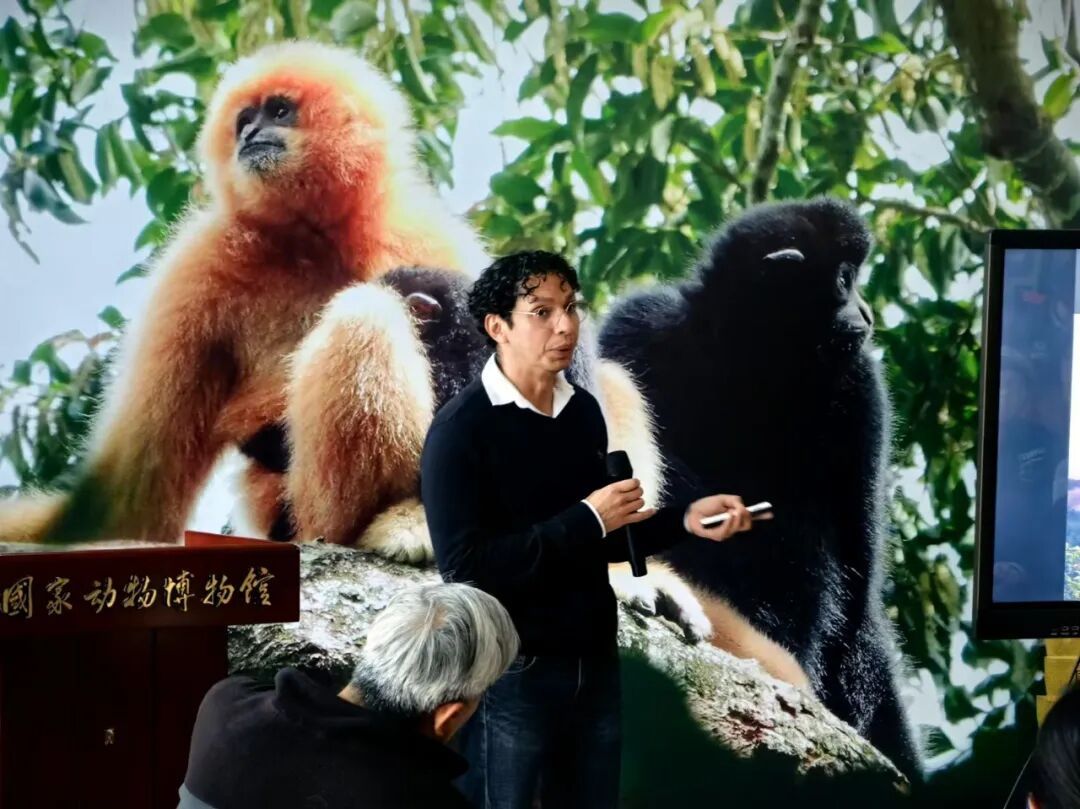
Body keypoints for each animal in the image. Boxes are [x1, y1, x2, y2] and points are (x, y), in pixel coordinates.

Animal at [0, 40, 488, 546]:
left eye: (279, 110)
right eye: (244, 120)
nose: (251, 132)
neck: (312, 242)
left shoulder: (428, 234)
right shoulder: (198, 262)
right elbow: (128, 503)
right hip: (312, 515)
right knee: (366, 315)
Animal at [595, 196, 922, 778]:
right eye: (845, 281)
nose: (865, 312)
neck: (752, 362)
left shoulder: (860, 384)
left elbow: (856, 571)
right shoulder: (641, 323)